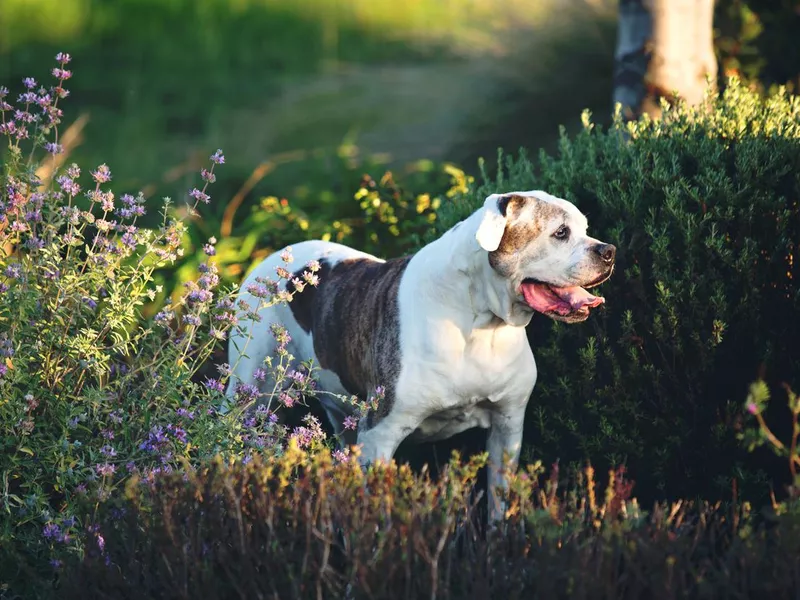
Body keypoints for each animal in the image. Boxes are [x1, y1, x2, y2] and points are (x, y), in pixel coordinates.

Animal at [228, 190, 616, 516]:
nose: (608, 250)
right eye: (561, 233)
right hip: (249, 397)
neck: (480, 320)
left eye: (585, 228)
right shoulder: (380, 433)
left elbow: (499, 502)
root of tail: (272, 258)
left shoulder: (507, 427)